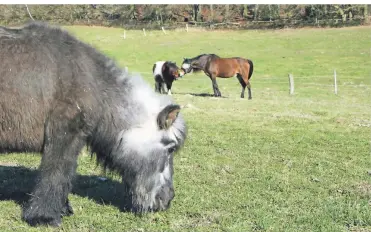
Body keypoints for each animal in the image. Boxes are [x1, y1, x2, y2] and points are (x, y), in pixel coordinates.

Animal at [0, 21, 187, 227]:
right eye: (170, 148)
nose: (168, 199)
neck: (93, 84)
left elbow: (63, 176)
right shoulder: (64, 137)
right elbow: (55, 174)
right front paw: (44, 216)